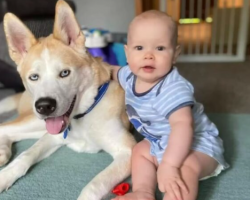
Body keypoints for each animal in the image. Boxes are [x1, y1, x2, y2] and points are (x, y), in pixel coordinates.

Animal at [0, 0, 136, 199]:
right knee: (4, 127)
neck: (84, 114)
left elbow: (94, 185)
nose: (44, 106)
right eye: (34, 77)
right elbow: (26, 155)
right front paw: (4, 177)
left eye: (65, 73)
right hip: (35, 119)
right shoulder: (52, 135)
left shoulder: (128, 151)